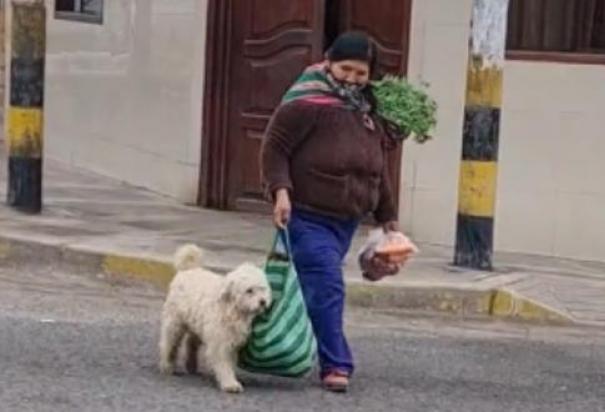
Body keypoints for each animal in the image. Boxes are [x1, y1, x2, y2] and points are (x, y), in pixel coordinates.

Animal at [158, 245, 268, 392]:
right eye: (249, 290)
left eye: (263, 289)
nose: (263, 302)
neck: (231, 307)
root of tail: (189, 269)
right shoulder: (220, 341)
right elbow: (223, 362)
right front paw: (229, 383)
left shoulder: (232, 340)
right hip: (174, 322)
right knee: (169, 343)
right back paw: (167, 365)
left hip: (197, 324)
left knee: (191, 343)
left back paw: (191, 365)